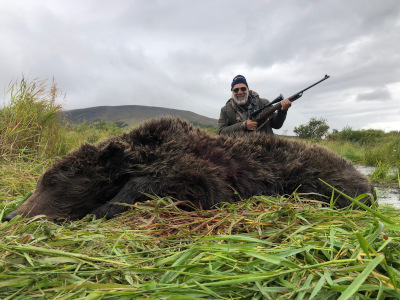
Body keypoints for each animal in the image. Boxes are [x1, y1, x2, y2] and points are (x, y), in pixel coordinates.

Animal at [3, 116, 376, 221]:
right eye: (39, 183)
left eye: (52, 183)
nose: (12, 215)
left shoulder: (210, 172)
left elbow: (188, 186)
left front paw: (105, 207)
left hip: (319, 176)